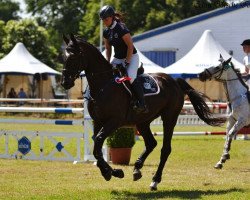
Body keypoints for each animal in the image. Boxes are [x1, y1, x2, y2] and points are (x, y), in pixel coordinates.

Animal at [61, 34, 226, 191]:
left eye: (74, 57)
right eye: (63, 57)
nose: (64, 82)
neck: (103, 85)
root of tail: (174, 81)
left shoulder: (114, 121)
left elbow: (99, 142)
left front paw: (114, 172)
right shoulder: (98, 121)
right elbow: (96, 145)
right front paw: (109, 172)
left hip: (169, 117)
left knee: (165, 149)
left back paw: (155, 181)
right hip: (143, 121)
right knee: (151, 143)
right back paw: (137, 169)